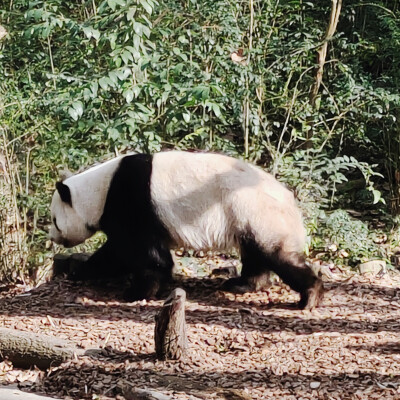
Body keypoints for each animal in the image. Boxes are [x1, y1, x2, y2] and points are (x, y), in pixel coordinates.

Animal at [50, 151, 324, 310]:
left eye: (54, 220)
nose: (53, 237)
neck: (100, 189)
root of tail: (290, 200)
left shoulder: (132, 201)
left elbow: (136, 253)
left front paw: (137, 291)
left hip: (256, 211)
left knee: (277, 255)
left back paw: (310, 295)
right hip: (248, 216)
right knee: (255, 253)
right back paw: (241, 284)